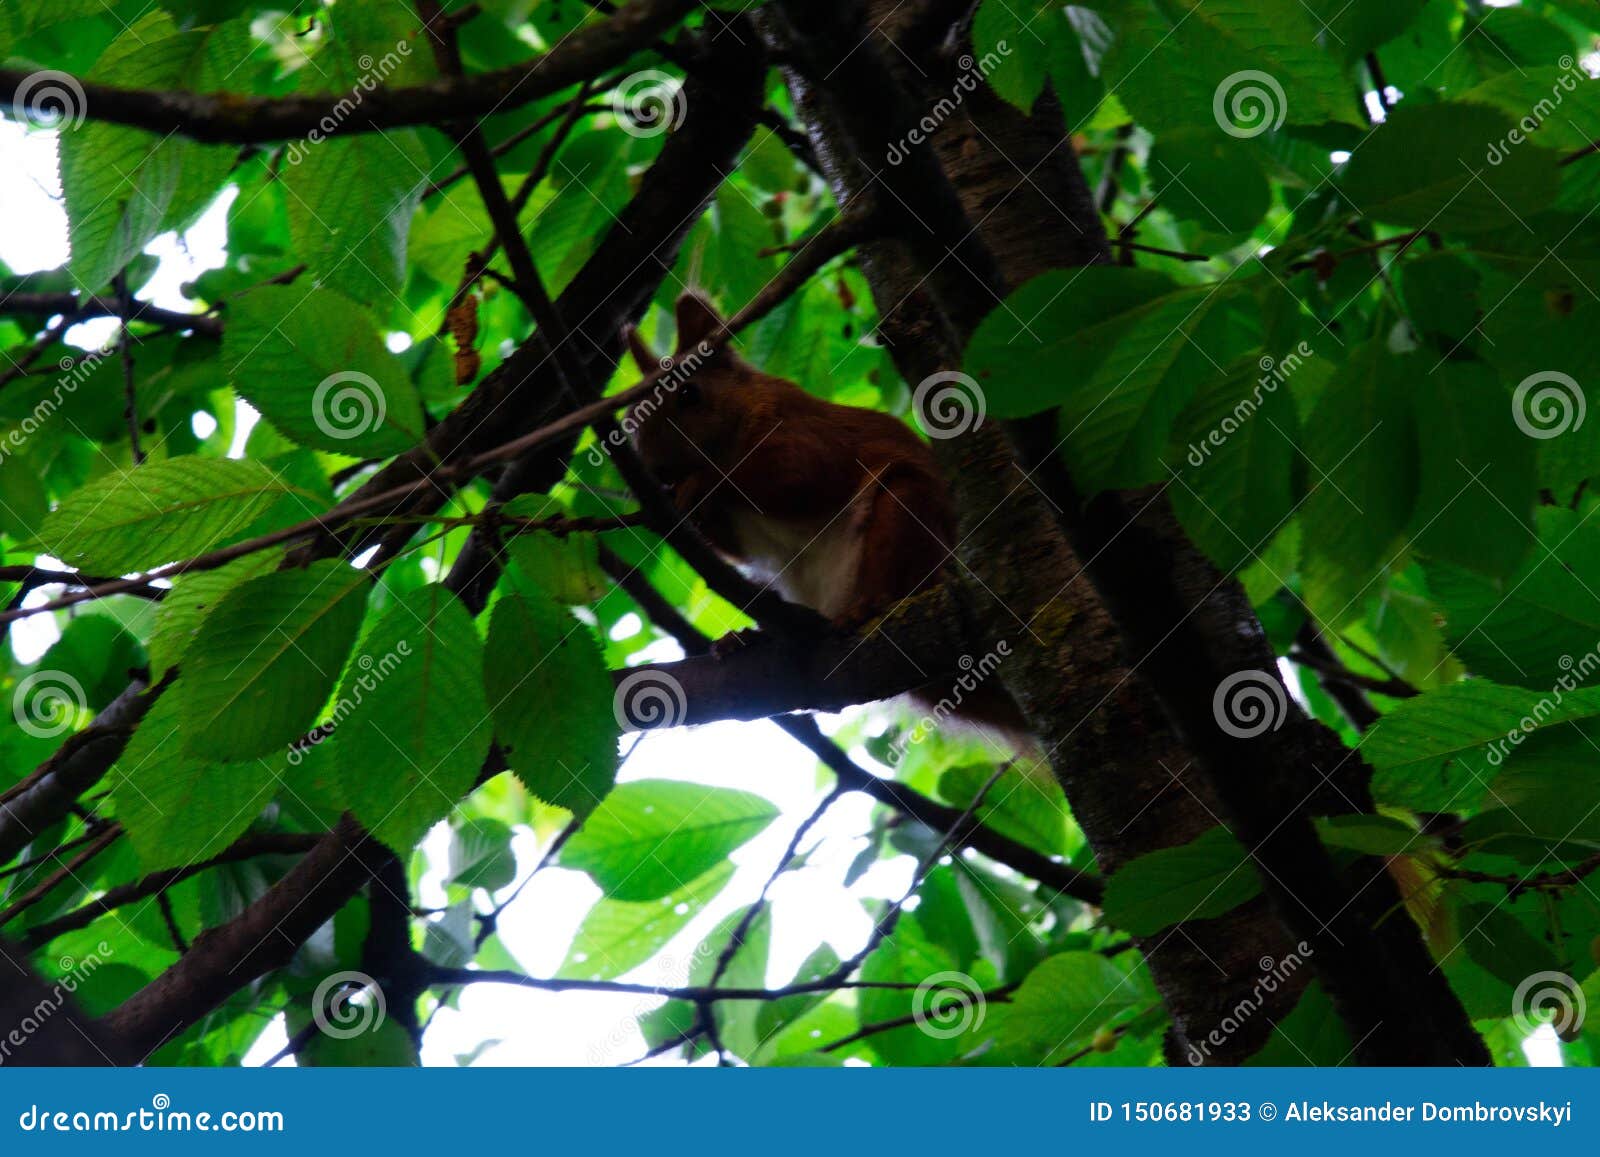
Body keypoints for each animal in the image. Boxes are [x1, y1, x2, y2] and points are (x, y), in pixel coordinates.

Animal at [624, 291, 1032, 755]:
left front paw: (699, 483)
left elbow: (798, 476)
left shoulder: (802, 432)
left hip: (908, 516)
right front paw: (678, 502)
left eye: (689, 395)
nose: (657, 469)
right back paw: (752, 638)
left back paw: (869, 606)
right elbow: (733, 545)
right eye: (633, 416)